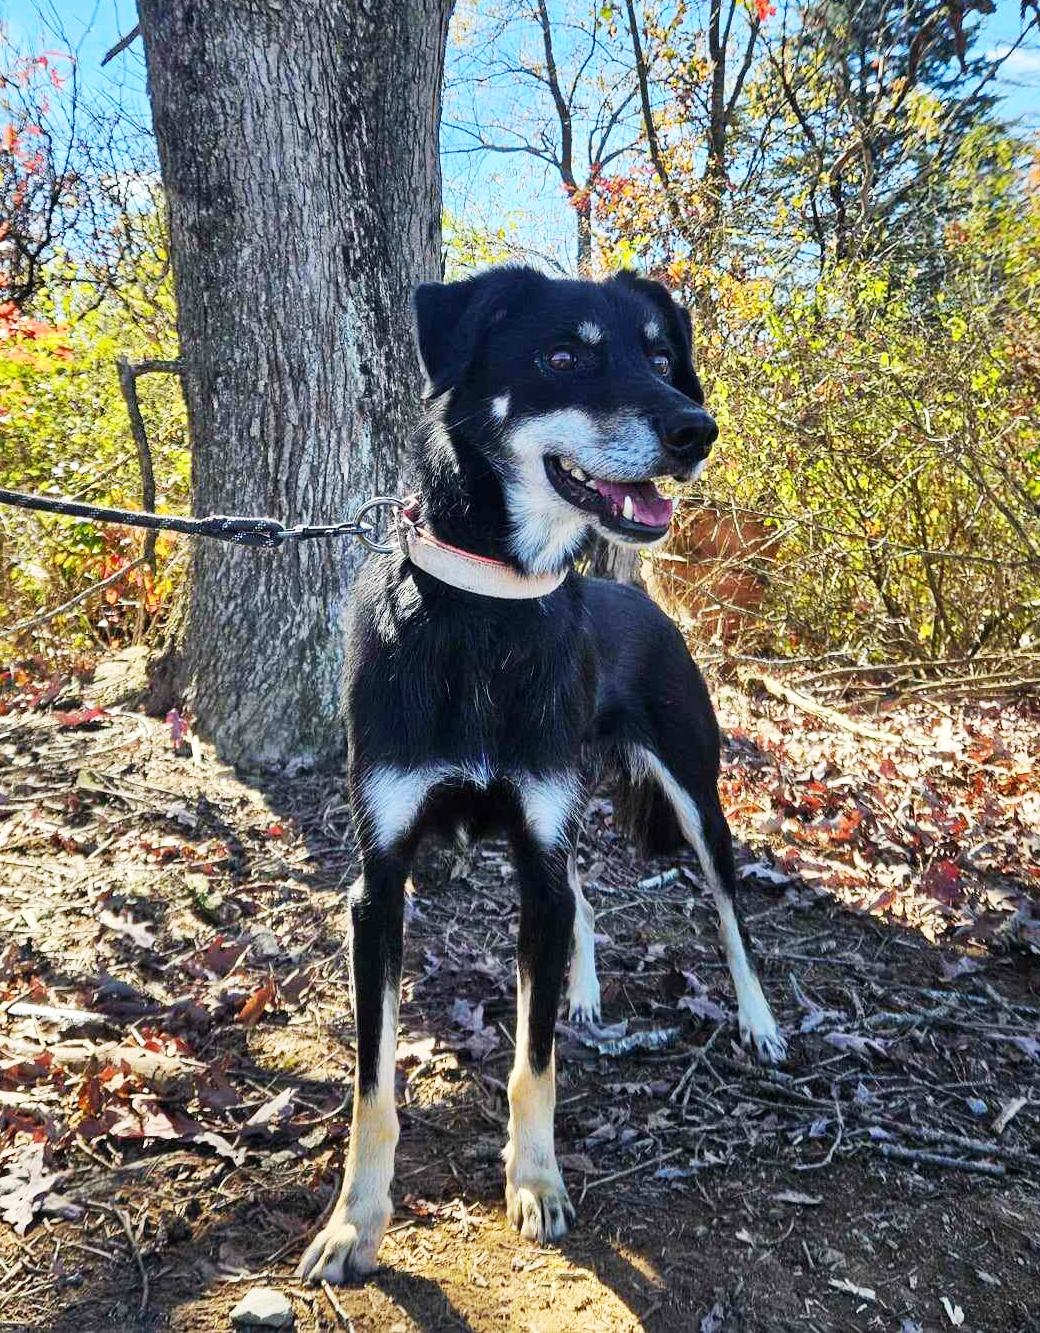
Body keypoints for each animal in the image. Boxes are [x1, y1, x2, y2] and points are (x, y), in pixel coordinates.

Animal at [296, 267, 784, 1279]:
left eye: (661, 355)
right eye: (563, 355)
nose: (697, 429)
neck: (493, 606)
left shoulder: (536, 848)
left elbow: (534, 1062)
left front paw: (534, 1181)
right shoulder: (381, 879)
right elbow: (373, 1085)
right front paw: (354, 1222)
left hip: (693, 796)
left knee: (728, 913)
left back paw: (756, 1020)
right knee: (585, 896)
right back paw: (586, 990)